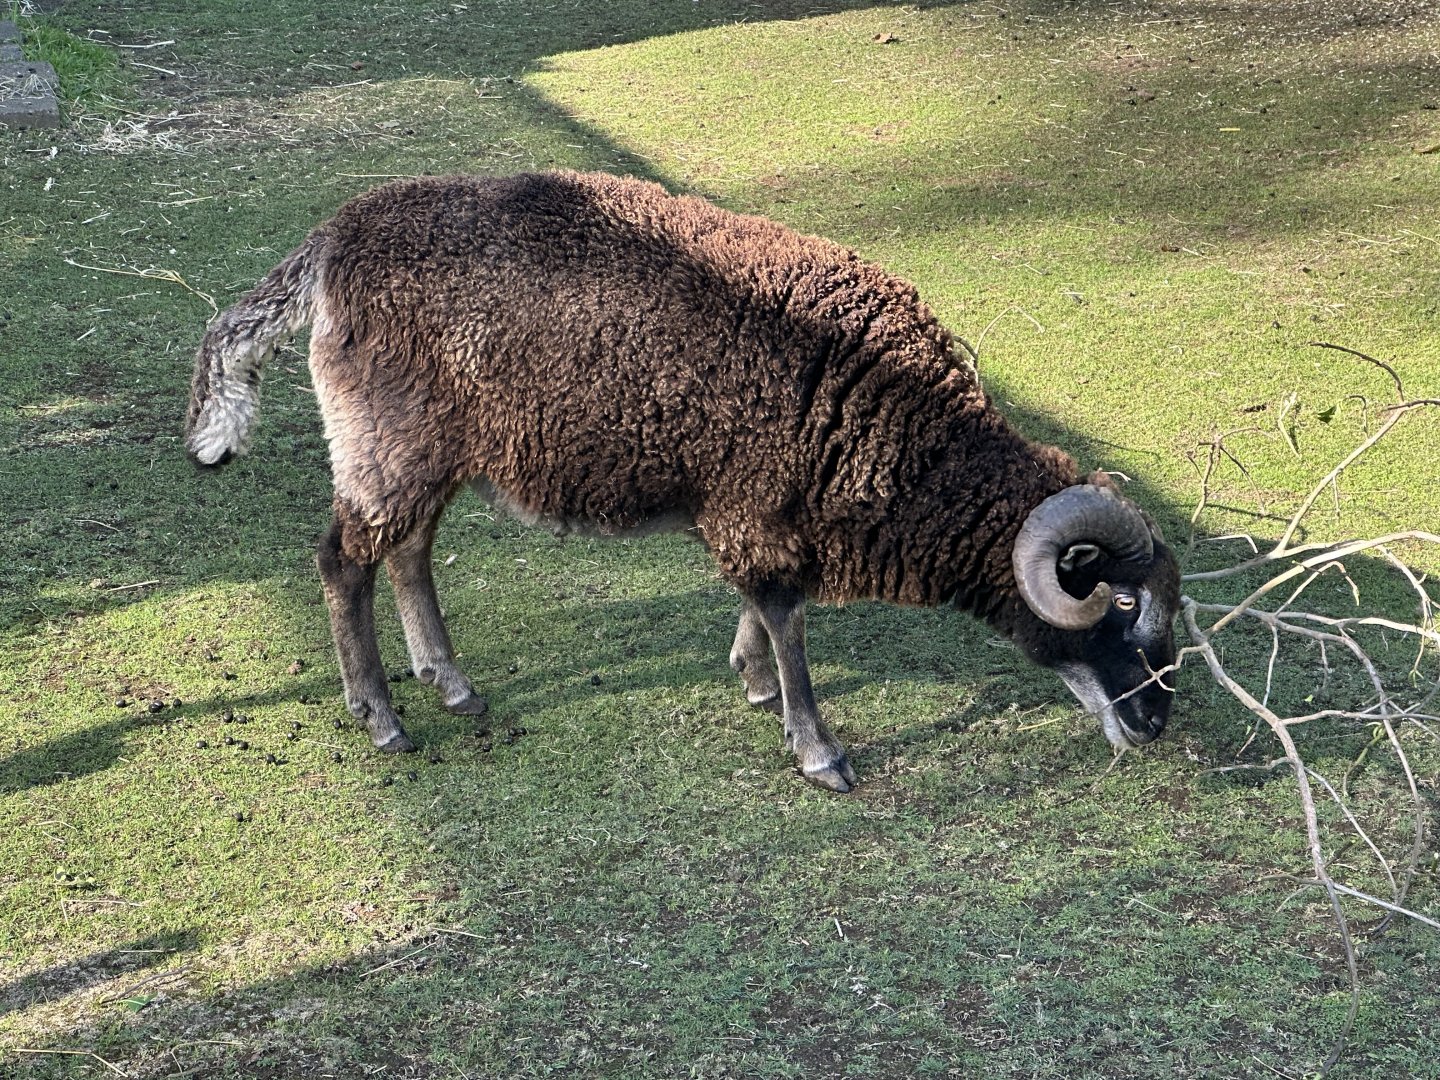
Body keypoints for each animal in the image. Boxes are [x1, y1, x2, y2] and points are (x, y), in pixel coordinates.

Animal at [186, 170, 1181, 792]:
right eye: (1123, 605)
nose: (1155, 725)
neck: (905, 431)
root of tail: (331, 243)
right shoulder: (760, 508)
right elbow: (785, 615)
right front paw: (816, 747)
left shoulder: (756, 501)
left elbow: (762, 606)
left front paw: (752, 679)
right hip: (388, 445)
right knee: (341, 559)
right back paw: (381, 714)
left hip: (428, 451)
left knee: (409, 552)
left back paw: (450, 680)